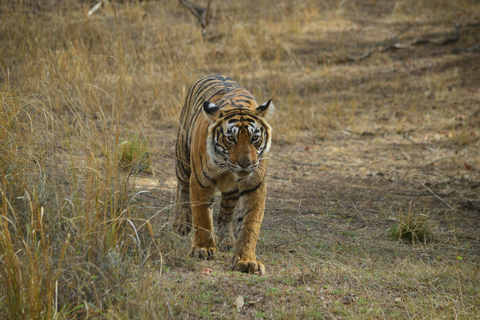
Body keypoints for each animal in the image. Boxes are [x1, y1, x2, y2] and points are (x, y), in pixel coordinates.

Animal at [172, 74, 274, 276]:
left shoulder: (255, 186)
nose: (245, 163)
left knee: (225, 214)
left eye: (255, 138)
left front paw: (247, 260)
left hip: (231, 192)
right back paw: (182, 223)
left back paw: (227, 240)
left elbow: (250, 225)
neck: (228, 168)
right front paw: (203, 249)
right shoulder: (200, 181)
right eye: (230, 139)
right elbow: (202, 216)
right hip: (183, 161)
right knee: (182, 189)